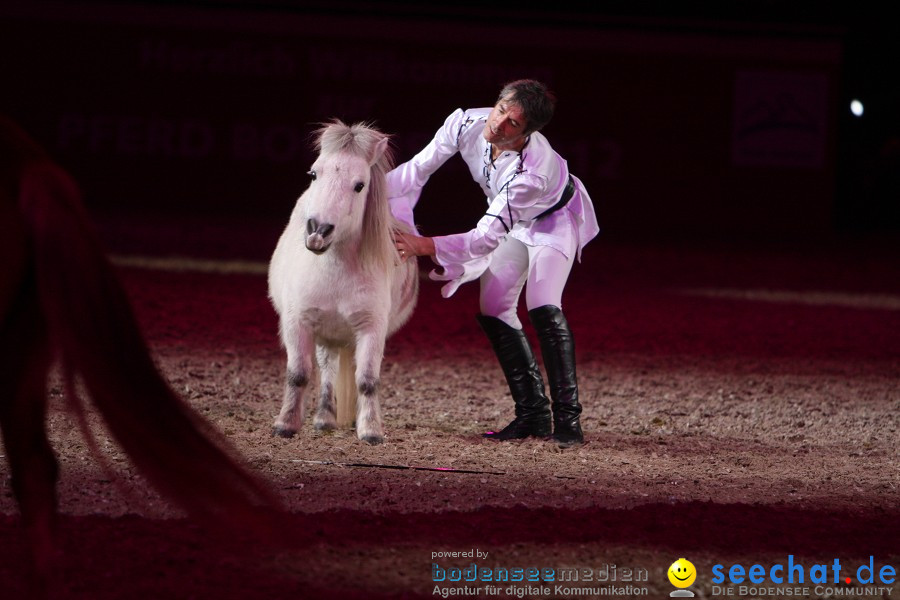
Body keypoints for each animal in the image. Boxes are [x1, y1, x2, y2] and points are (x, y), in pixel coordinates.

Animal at [268, 119, 418, 442]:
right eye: (313, 173)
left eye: (359, 185)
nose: (317, 231)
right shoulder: (297, 323)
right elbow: (298, 374)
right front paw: (285, 424)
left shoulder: (371, 329)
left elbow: (367, 380)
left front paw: (371, 430)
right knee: (326, 369)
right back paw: (324, 418)